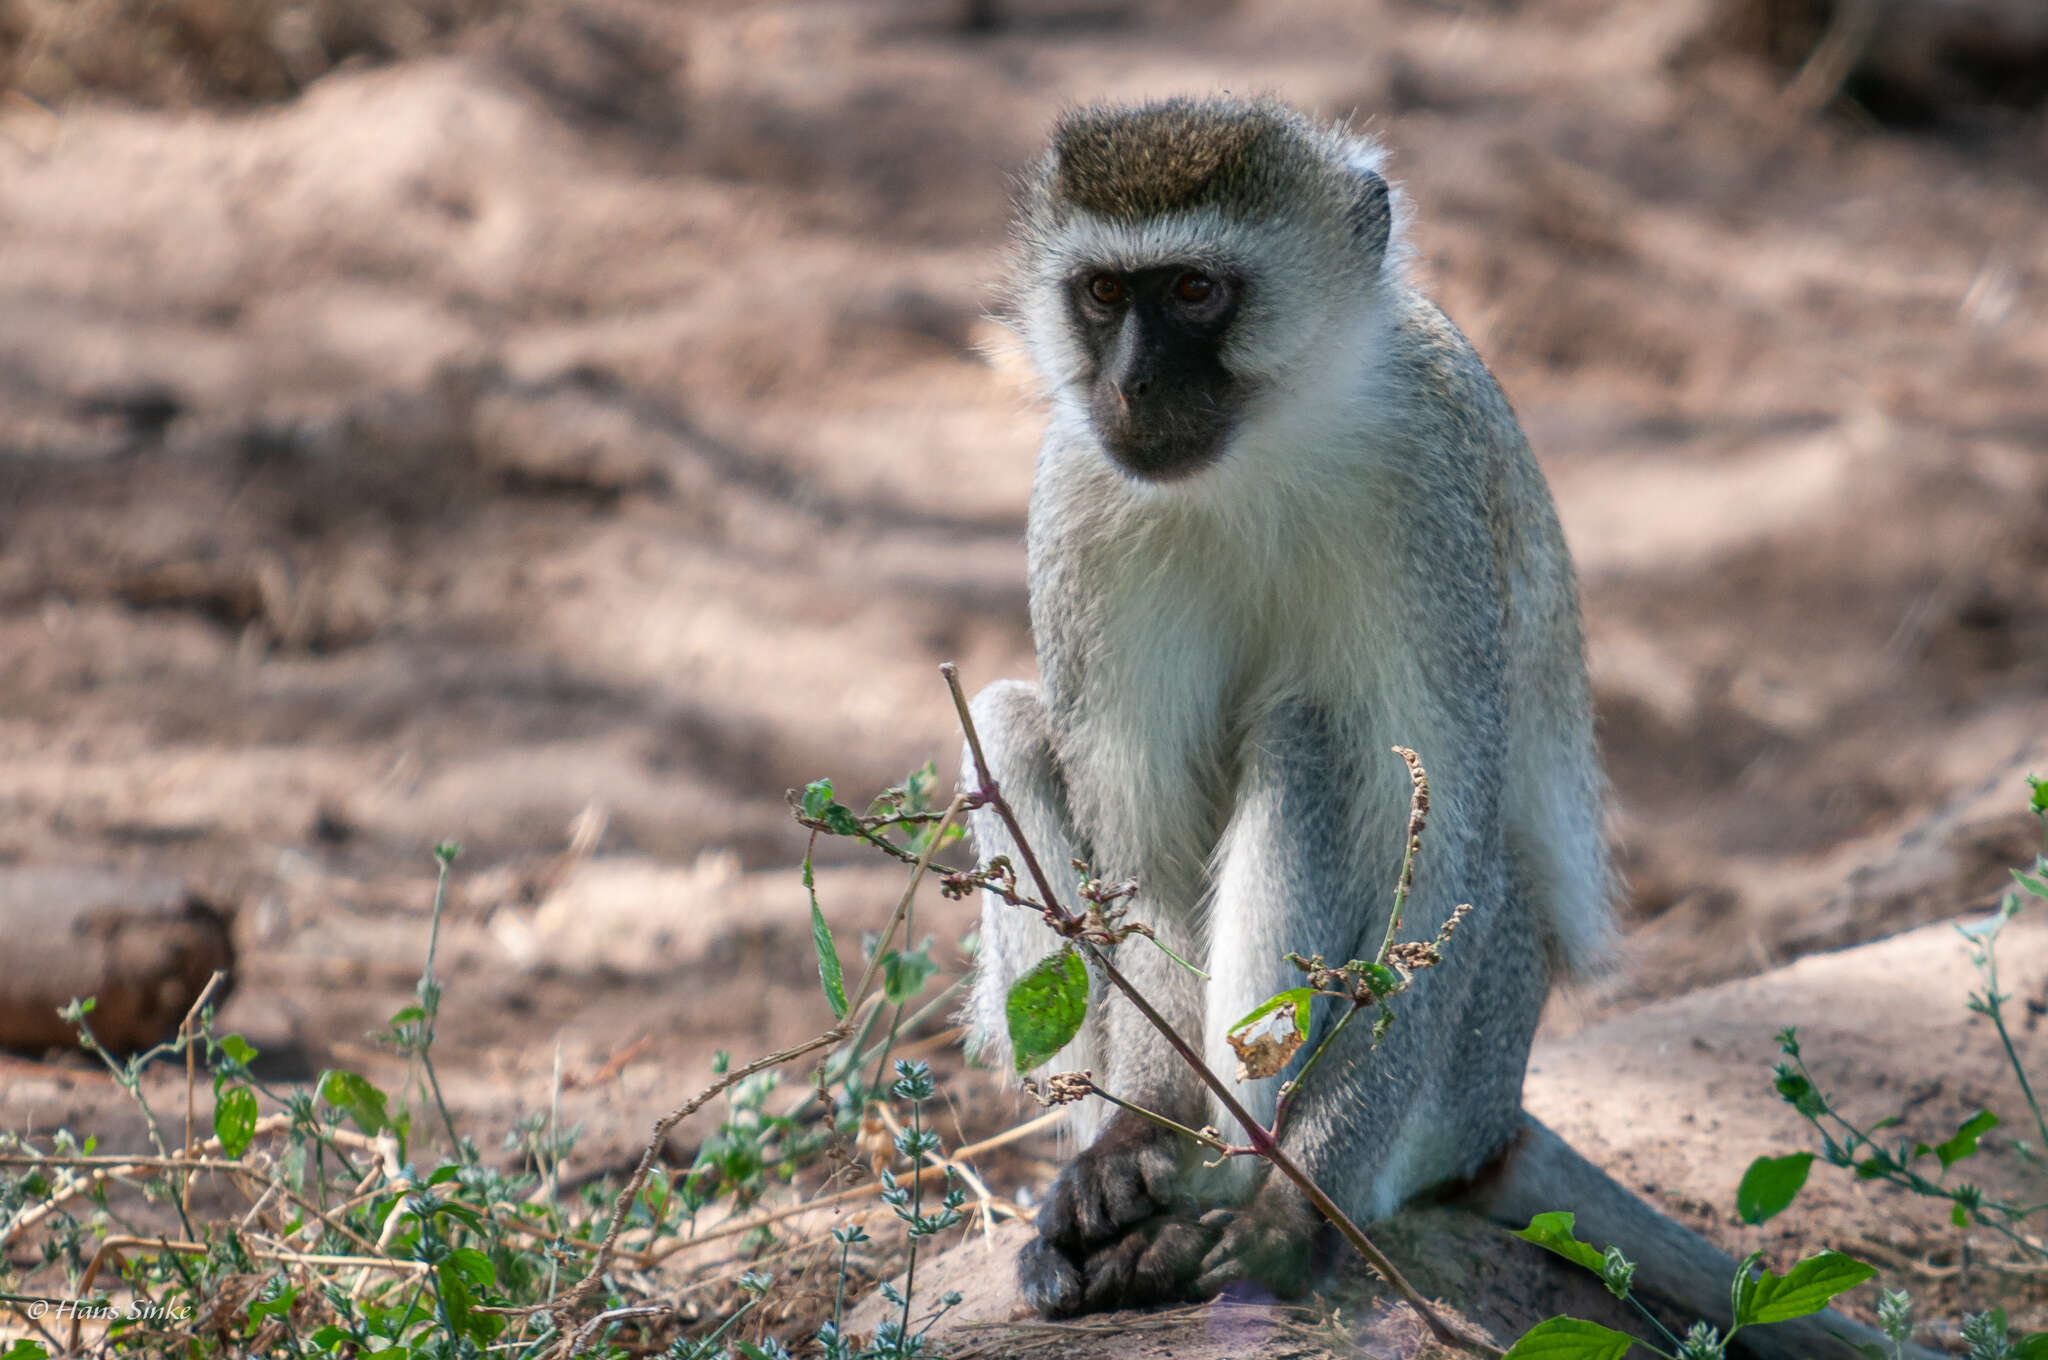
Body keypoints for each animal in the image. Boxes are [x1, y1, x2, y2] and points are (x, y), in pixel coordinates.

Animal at [966, 95, 1908, 1360]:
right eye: (1106, 295)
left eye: (1197, 291)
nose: (1130, 387)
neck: (1264, 445)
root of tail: (1502, 1114)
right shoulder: (1078, 501)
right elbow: (1145, 854)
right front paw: (1133, 1143)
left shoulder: (1425, 495)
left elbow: (1443, 852)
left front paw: (1289, 1214)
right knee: (1008, 719)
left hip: (1466, 1062)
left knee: (1308, 736)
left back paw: (1243, 1188)